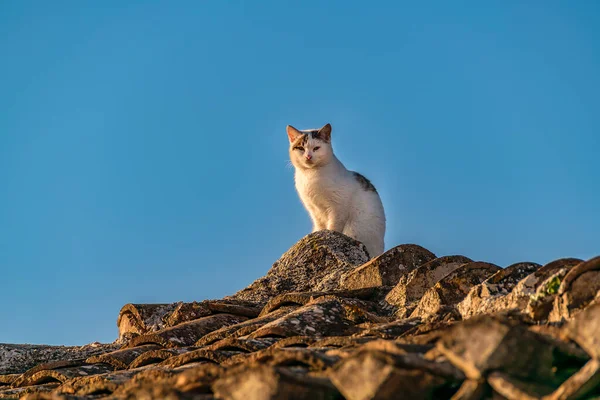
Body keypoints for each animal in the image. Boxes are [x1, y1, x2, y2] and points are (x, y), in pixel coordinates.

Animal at [288, 123, 386, 258]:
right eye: (301, 148)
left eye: (316, 148)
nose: (308, 156)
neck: (311, 176)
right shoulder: (314, 210)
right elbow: (320, 226)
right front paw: (319, 232)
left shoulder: (338, 207)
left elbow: (333, 226)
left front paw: (329, 234)